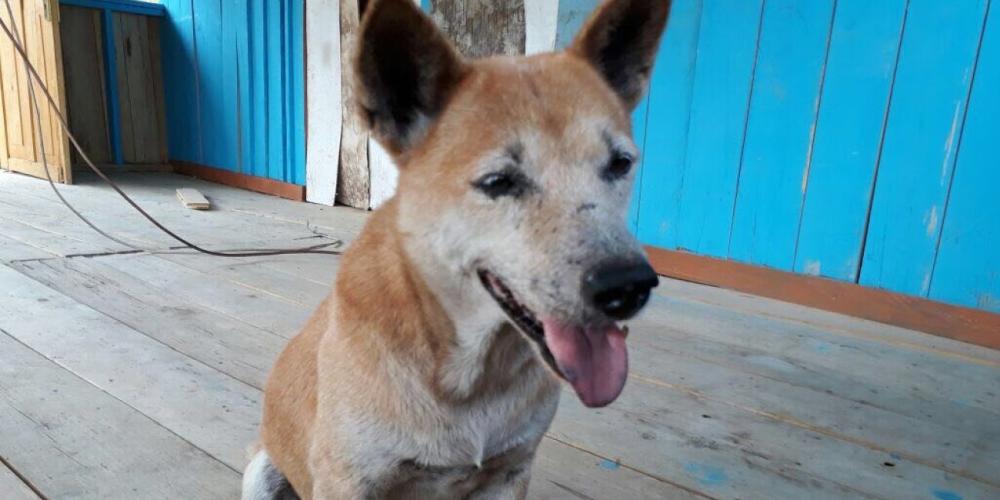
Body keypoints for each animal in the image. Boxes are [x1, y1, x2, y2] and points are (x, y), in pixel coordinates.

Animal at [240, 0, 672, 496]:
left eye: (620, 164)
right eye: (498, 182)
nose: (628, 287)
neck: (466, 372)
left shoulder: (510, 471)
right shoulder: (348, 480)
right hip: (262, 472)